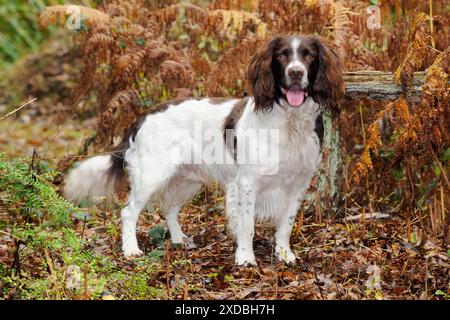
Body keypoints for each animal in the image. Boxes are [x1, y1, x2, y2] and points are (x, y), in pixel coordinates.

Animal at [64, 34, 344, 264]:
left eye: (308, 56)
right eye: (282, 55)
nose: (296, 73)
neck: (289, 123)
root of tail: (142, 117)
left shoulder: (298, 183)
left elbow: (285, 224)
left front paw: (284, 254)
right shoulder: (246, 183)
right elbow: (247, 225)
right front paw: (245, 258)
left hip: (188, 179)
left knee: (168, 207)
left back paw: (179, 239)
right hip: (151, 176)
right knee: (128, 212)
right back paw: (131, 249)